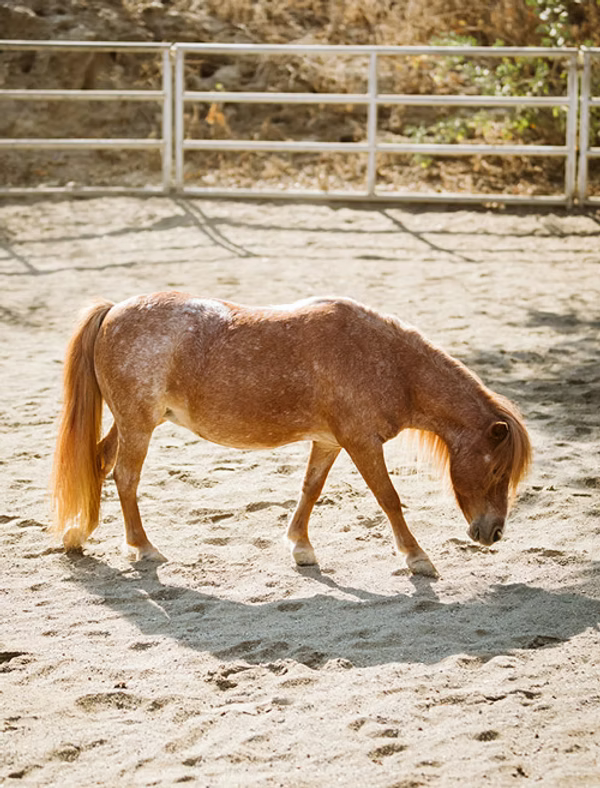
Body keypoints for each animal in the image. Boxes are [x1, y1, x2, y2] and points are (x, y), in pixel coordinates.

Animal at [50, 293, 531, 577]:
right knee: (125, 478)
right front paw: (418, 558)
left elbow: (310, 490)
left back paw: (79, 534)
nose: (493, 533)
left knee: (99, 462)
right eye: (495, 471)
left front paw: (301, 547)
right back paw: (143, 547)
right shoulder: (361, 442)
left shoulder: (330, 442)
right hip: (138, 426)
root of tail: (114, 310)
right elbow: (389, 498)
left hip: (131, 423)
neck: (386, 361)